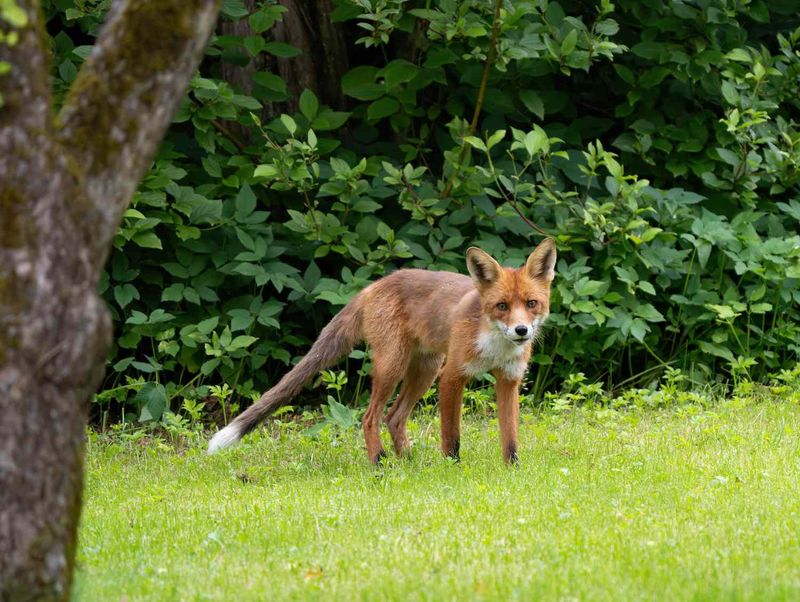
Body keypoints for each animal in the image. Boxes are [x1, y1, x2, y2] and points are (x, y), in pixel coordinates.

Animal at [208, 238, 557, 464]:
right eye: (501, 306)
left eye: (531, 304)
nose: (522, 331)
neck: (495, 346)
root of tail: (371, 286)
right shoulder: (452, 376)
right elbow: (451, 435)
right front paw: (452, 468)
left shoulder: (509, 380)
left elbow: (510, 436)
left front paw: (512, 469)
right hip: (395, 367)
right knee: (369, 417)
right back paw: (380, 462)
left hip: (423, 371)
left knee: (394, 417)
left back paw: (410, 462)